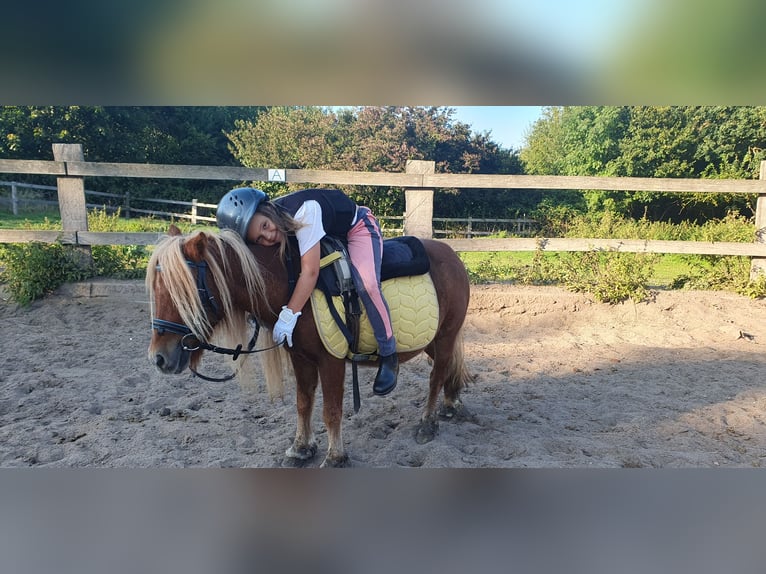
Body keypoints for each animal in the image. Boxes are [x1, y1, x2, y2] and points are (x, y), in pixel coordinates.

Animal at [146, 225, 472, 468]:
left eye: (184, 291)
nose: (159, 358)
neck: (292, 285)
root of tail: (452, 255)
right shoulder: (300, 358)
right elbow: (303, 403)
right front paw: (301, 448)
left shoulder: (331, 361)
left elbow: (331, 410)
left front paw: (335, 456)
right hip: (431, 339)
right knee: (449, 367)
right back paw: (451, 403)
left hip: (445, 335)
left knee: (436, 376)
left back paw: (428, 422)